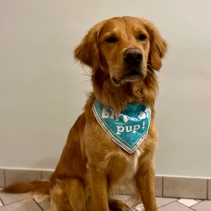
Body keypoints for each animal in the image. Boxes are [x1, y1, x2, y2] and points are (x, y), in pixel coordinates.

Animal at [2, 16, 166, 211]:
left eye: (142, 37)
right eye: (110, 39)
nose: (134, 56)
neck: (126, 106)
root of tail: (49, 182)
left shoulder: (146, 166)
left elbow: (151, 202)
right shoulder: (96, 169)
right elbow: (101, 204)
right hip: (73, 185)